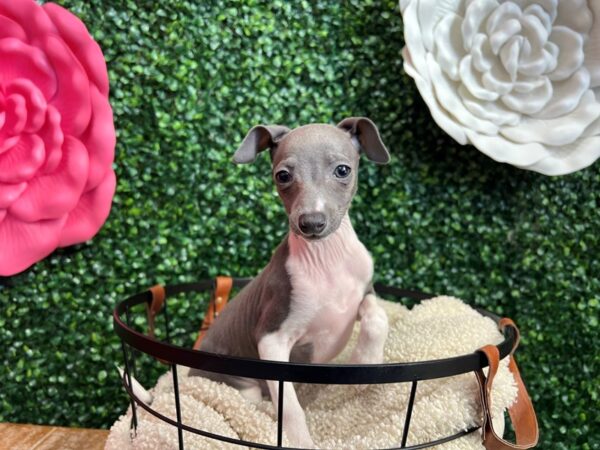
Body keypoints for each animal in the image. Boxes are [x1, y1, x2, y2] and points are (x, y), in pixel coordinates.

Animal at [190, 118, 392, 448]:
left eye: (343, 170)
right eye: (283, 175)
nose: (311, 223)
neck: (326, 259)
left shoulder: (366, 289)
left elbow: (377, 316)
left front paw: (367, 359)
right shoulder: (272, 337)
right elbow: (290, 405)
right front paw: (299, 441)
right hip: (236, 384)